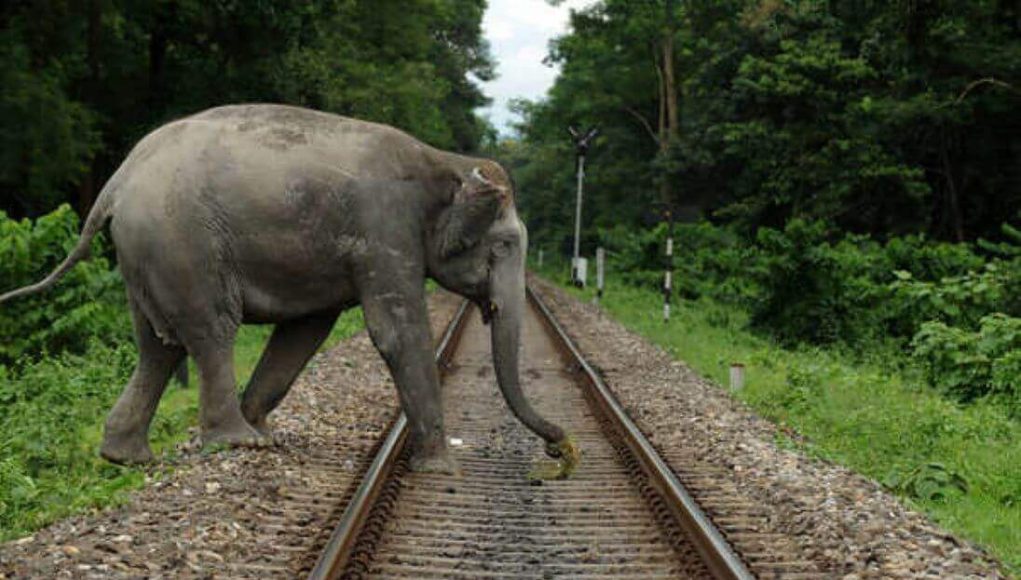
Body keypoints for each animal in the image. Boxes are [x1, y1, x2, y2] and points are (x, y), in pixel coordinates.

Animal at [0, 104, 568, 473]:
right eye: (503, 246)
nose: (560, 448)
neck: (444, 160)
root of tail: (115, 183)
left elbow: (306, 330)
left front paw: (266, 427)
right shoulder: (385, 229)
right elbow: (395, 331)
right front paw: (442, 466)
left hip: (144, 253)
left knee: (157, 347)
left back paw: (129, 456)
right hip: (181, 243)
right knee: (211, 331)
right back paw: (236, 443)